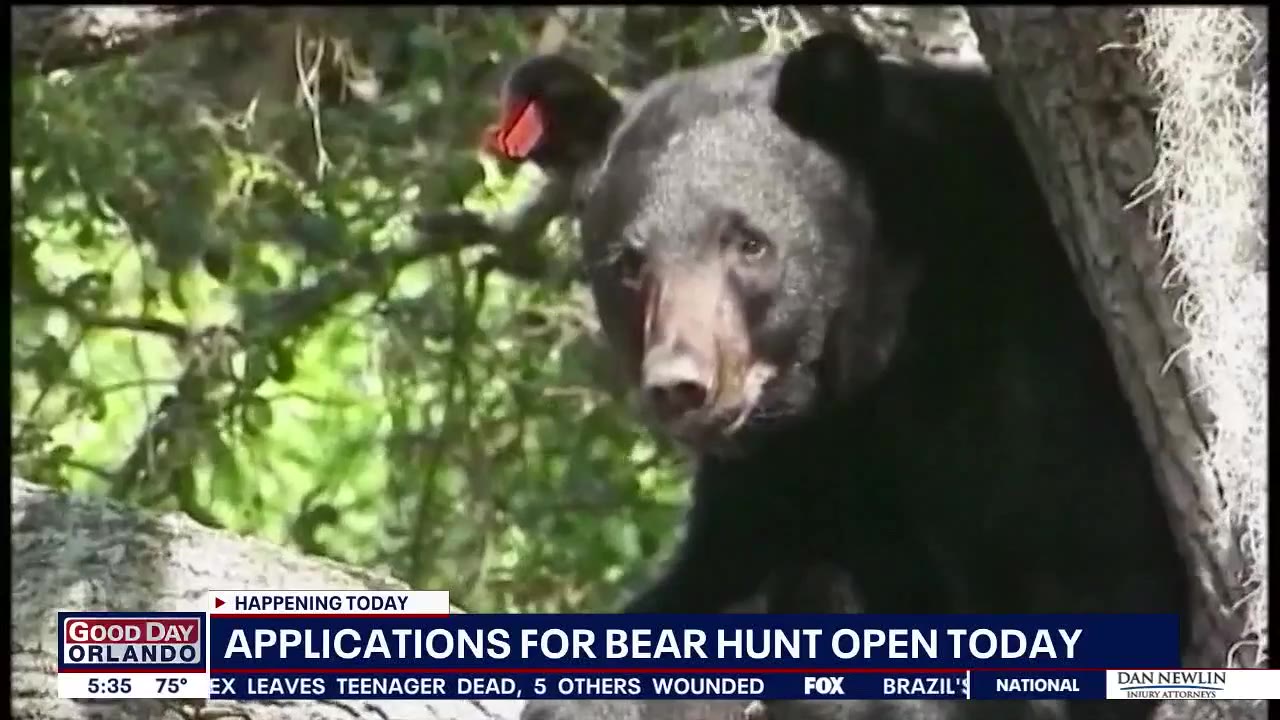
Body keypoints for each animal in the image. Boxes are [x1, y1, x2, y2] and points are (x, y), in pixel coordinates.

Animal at [482, 30, 1190, 720]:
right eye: (628, 264)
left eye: (750, 244)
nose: (680, 385)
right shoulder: (793, 459)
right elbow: (719, 569)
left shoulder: (1030, 362)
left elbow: (1087, 569)